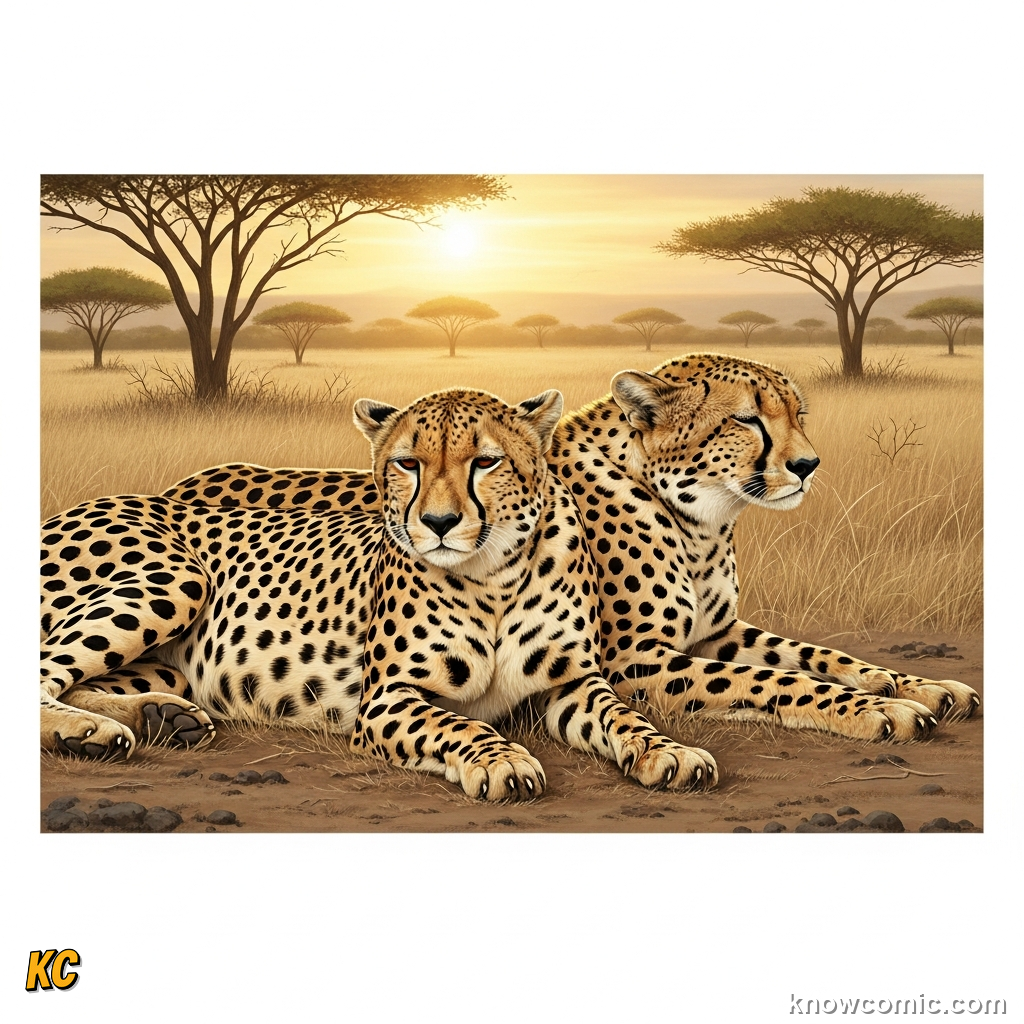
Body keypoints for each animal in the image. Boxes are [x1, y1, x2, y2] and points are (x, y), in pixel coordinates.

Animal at [40, 386, 718, 801]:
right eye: (406, 464)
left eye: (487, 462)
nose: (439, 523)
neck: (493, 576)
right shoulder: (386, 699)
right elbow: (460, 725)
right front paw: (502, 761)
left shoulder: (569, 682)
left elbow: (623, 715)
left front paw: (670, 752)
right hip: (175, 582)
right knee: (45, 673)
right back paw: (88, 733)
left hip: (173, 656)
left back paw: (158, 718)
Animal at [163, 353, 978, 746]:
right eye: (748, 420)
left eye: (797, 414)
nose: (807, 465)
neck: (697, 519)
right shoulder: (639, 662)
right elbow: (775, 681)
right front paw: (883, 711)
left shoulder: (714, 632)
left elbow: (817, 655)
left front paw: (921, 686)